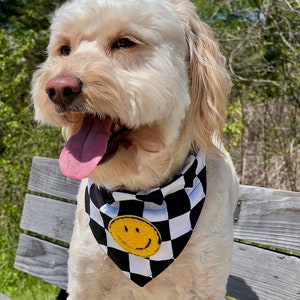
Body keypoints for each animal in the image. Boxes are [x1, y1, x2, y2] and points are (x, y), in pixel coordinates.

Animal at [31, 0, 239, 298]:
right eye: (64, 49)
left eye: (124, 42)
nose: (58, 88)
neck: (141, 194)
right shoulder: (85, 281)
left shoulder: (205, 285)